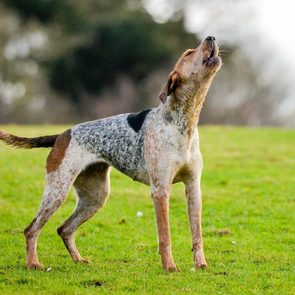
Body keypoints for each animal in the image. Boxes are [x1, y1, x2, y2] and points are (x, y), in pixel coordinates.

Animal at [0, 37, 222, 272]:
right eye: (188, 53)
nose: (211, 37)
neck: (184, 122)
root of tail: (61, 135)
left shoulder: (193, 188)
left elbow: (197, 235)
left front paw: (201, 265)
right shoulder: (160, 190)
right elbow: (165, 236)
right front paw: (169, 266)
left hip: (95, 196)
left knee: (64, 229)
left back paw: (79, 260)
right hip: (57, 191)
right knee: (32, 229)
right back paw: (33, 263)